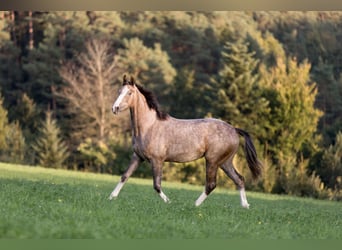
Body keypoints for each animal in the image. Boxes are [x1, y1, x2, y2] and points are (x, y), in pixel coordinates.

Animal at [109, 75, 262, 208]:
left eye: (129, 93)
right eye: (119, 91)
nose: (114, 108)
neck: (149, 126)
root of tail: (234, 129)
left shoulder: (157, 160)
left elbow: (157, 185)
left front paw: (169, 202)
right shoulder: (138, 157)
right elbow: (124, 176)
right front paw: (111, 197)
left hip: (212, 161)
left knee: (211, 184)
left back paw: (195, 205)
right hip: (225, 162)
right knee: (239, 179)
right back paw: (245, 206)